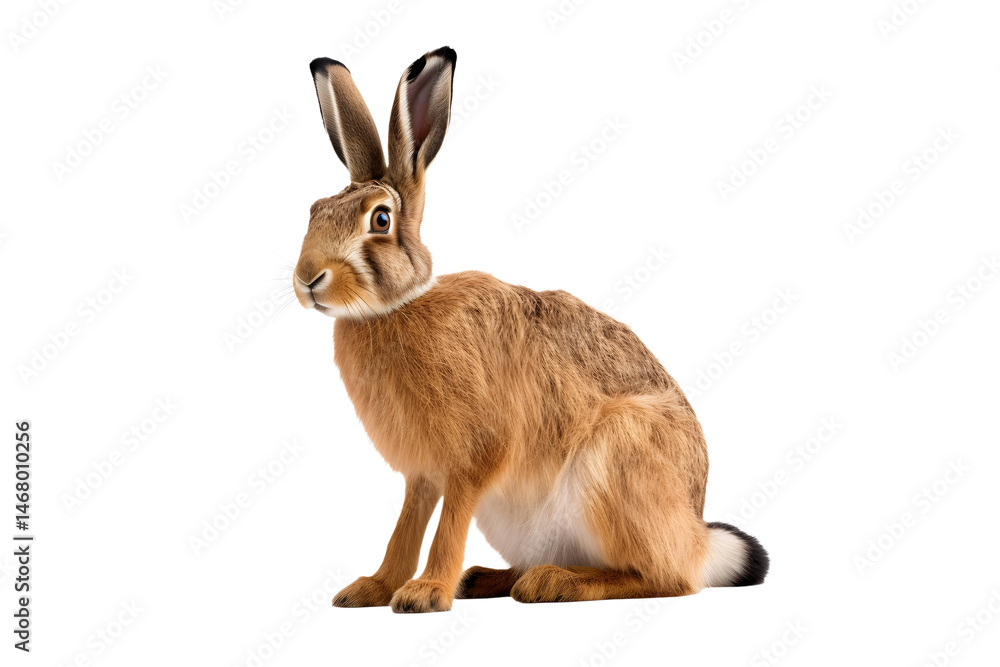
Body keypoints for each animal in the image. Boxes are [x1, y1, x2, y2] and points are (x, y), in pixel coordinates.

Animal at [293, 46, 769, 613]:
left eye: (380, 220)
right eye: (315, 211)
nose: (307, 279)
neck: (394, 308)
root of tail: (699, 541)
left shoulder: (474, 459)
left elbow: (448, 523)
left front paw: (426, 594)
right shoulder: (422, 475)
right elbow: (406, 528)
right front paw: (372, 588)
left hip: (617, 462)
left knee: (664, 578)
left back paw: (551, 583)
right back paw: (486, 579)